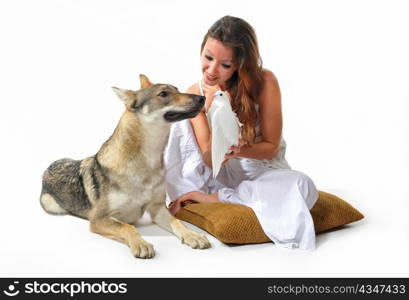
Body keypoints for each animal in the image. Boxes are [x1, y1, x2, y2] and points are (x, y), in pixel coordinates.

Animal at [40, 74, 210, 258]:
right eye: (163, 94)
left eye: (177, 90)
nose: (202, 98)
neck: (147, 163)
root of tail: (50, 165)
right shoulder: (99, 219)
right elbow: (128, 227)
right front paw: (141, 244)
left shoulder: (158, 209)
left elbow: (177, 222)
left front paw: (193, 235)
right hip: (52, 206)